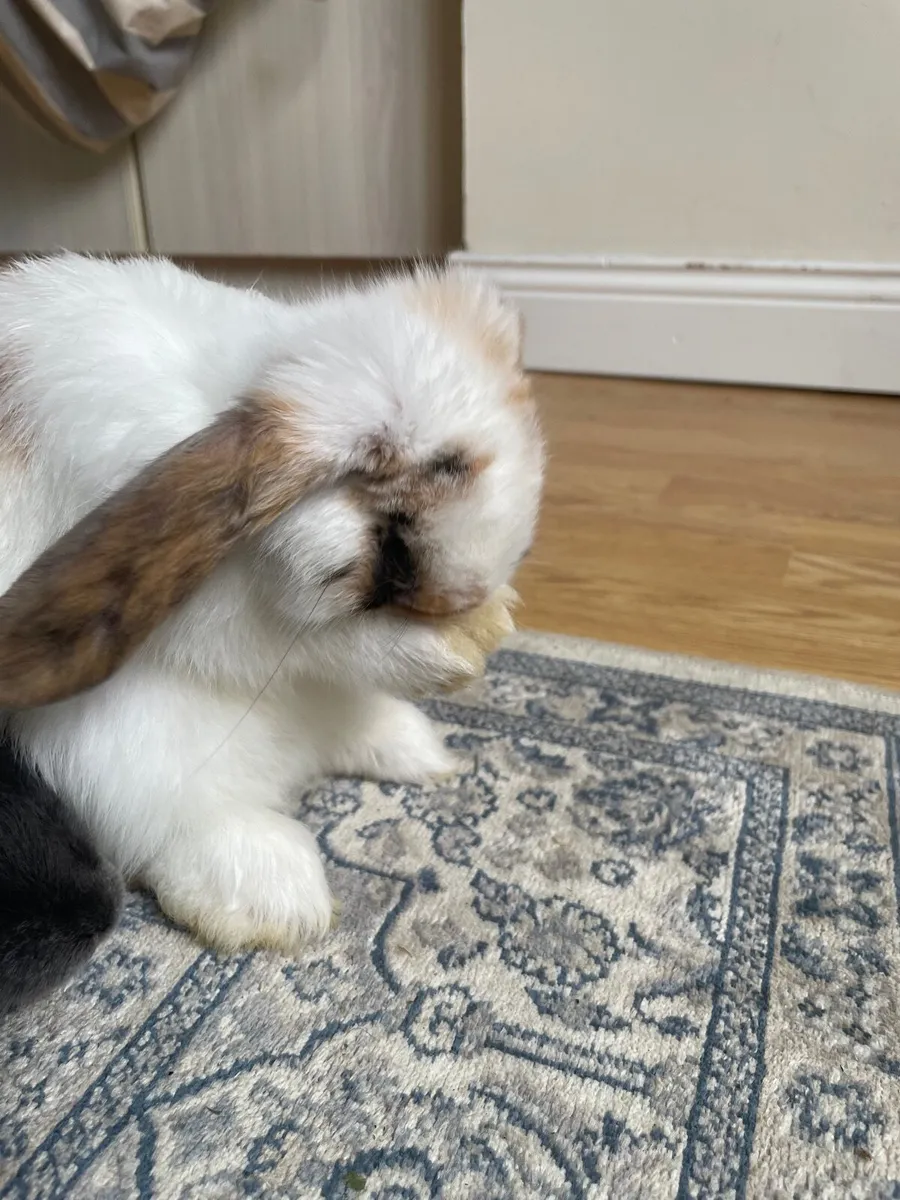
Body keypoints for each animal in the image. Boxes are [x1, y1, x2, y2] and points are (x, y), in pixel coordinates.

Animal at [0, 252, 543, 958]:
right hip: (118, 746)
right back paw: (281, 901)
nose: (468, 599)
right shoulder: (223, 621)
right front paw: (456, 647)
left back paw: (424, 756)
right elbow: (312, 641)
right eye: (393, 546)